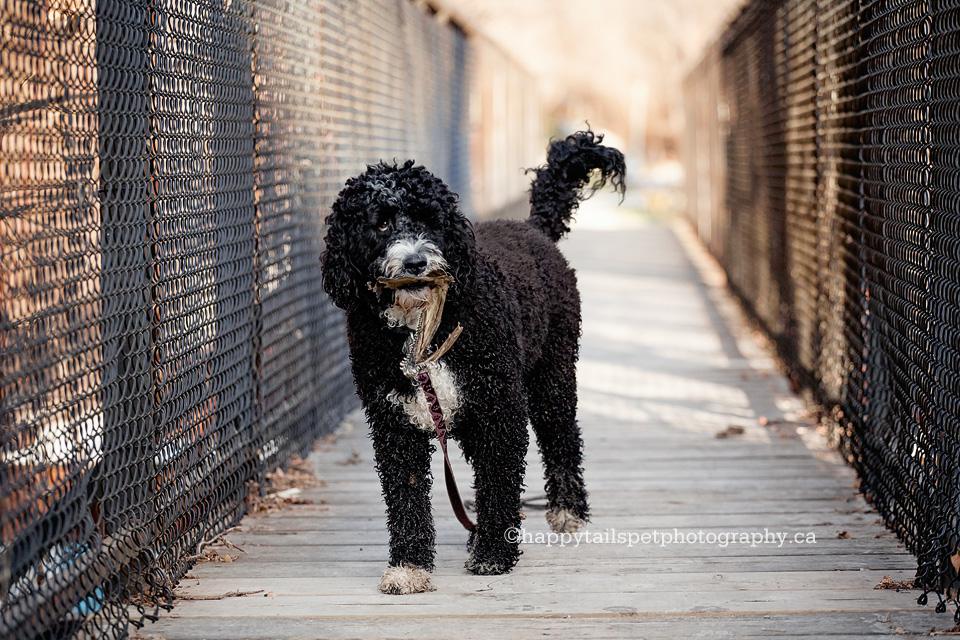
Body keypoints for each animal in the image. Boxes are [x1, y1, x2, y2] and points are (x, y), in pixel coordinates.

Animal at [318, 130, 628, 596]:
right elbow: (406, 496)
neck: (421, 327)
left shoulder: (499, 411)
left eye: (429, 219)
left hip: (551, 377)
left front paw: (494, 553)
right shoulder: (395, 424)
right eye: (382, 223)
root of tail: (531, 228)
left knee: (562, 437)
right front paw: (409, 565)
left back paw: (567, 509)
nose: (415, 262)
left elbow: (498, 482)